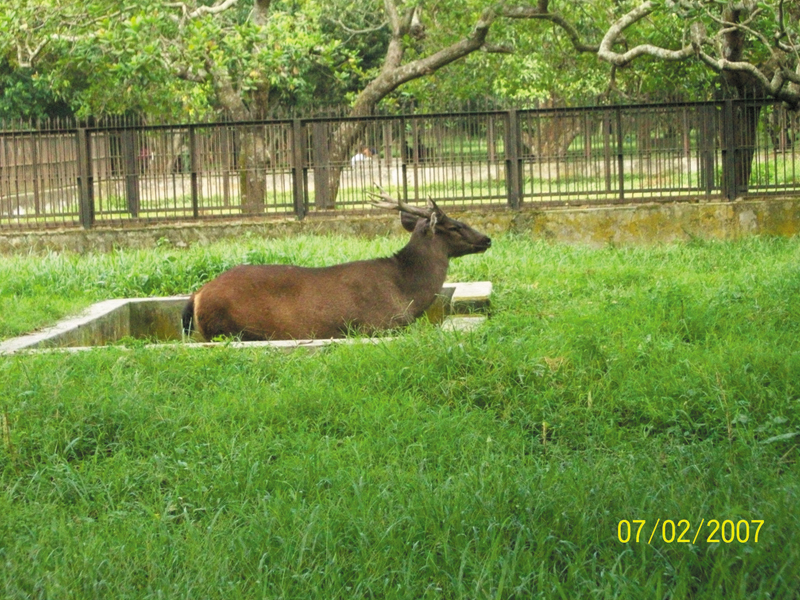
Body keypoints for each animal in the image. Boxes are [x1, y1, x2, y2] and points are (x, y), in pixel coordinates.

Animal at [182, 185, 490, 340]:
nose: (487, 239)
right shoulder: (374, 325)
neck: (406, 294)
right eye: (455, 226)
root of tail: (197, 294)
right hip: (227, 328)